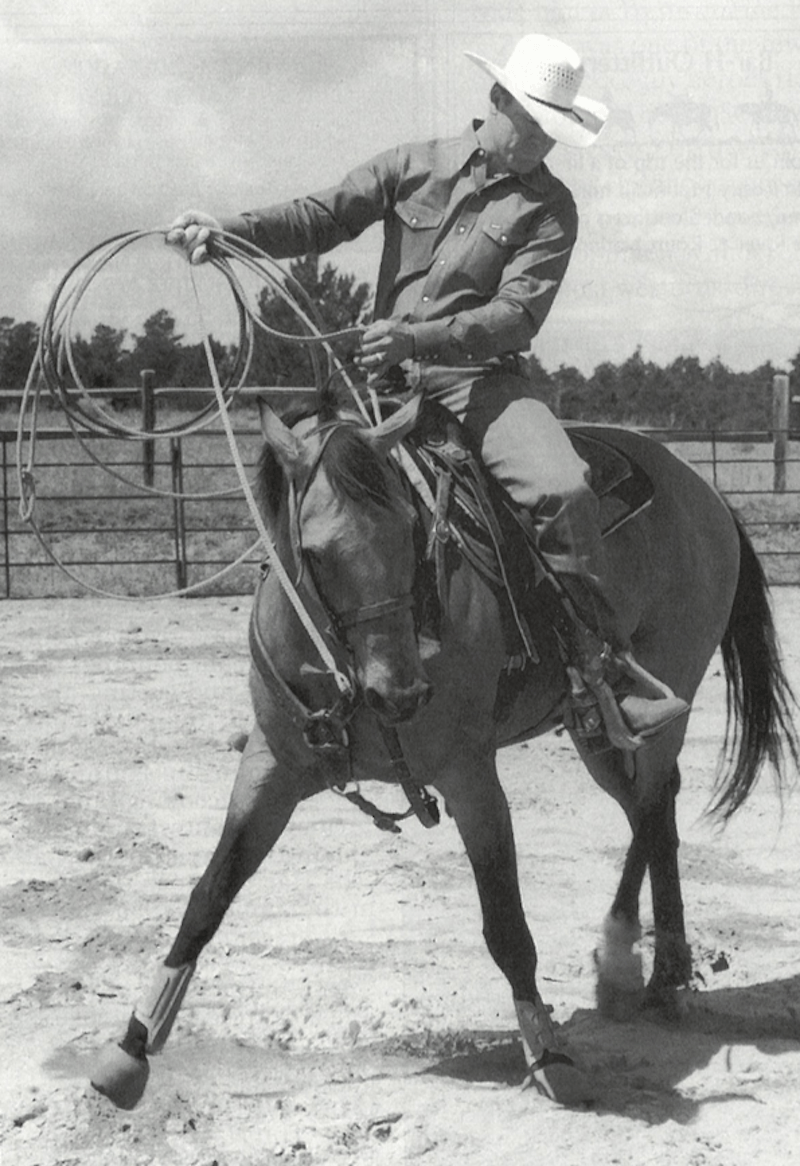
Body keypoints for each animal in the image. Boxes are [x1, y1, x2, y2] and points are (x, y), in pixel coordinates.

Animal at [91, 392, 798, 1109]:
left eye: (411, 532)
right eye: (316, 553)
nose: (399, 692)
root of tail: (705, 491)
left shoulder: (471, 778)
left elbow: (506, 923)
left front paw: (550, 1055)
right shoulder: (271, 767)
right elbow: (209, 895)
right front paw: (132, 1049)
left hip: (662, 692)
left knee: (654, 809)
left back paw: (647, 969)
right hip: (595, 730)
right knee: (651, 815)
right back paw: (644, 971)